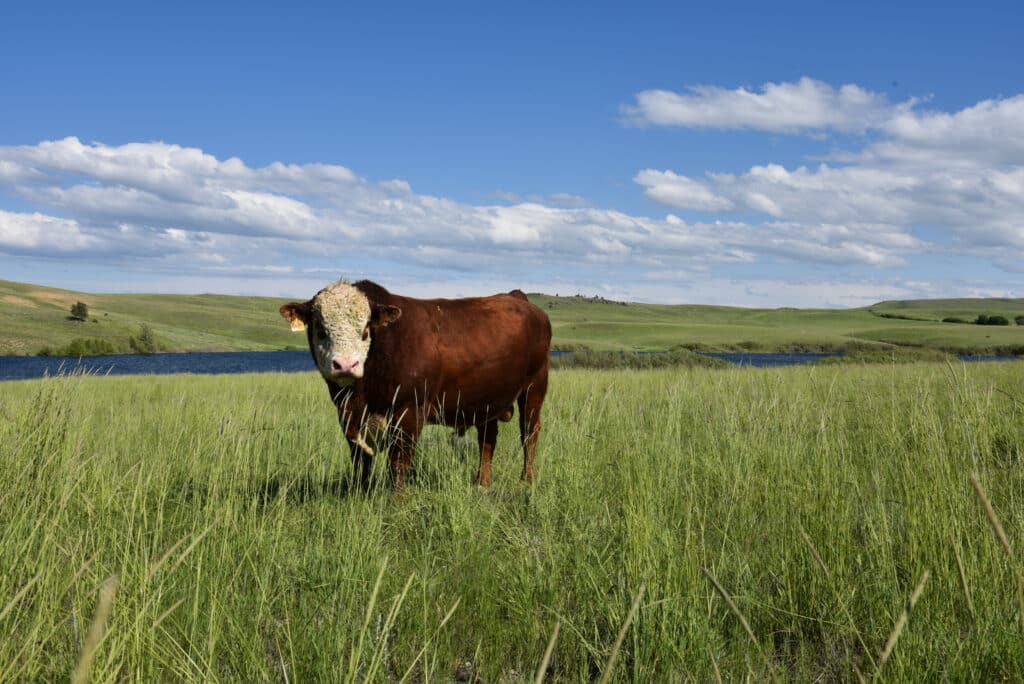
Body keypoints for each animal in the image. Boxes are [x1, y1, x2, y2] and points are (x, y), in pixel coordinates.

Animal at [280, 279, 551, 491]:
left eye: (366, 328)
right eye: (320, 328)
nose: (345, 364)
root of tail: (518, 297)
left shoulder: (409, 411)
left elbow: (398, 463)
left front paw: (396, 506)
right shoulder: (348, 416)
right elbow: (361, 461)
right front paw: (360, 495)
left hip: (534, 387)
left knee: (529, 432)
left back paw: (526, 480)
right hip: (487, 399)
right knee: (487, 438)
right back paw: (481, 483)